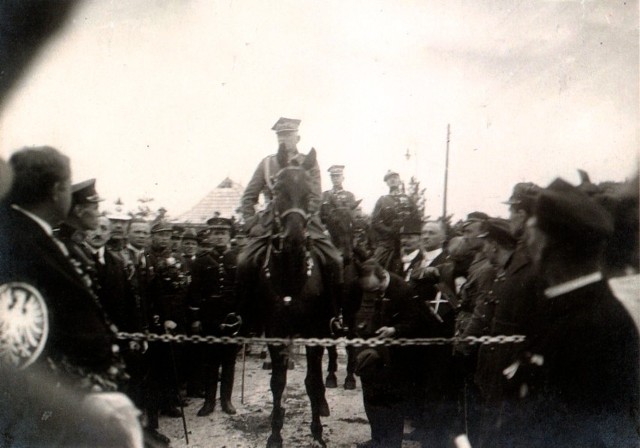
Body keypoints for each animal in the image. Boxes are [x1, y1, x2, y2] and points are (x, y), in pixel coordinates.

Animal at [256, 148, 336, 448]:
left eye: (310, 192)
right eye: (277, 190)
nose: (293, 240)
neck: (292, 274)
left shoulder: (314, 332)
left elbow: (312, 382)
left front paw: (317, 432)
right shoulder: (275, 333)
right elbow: (277, 383)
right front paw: (275, 434)